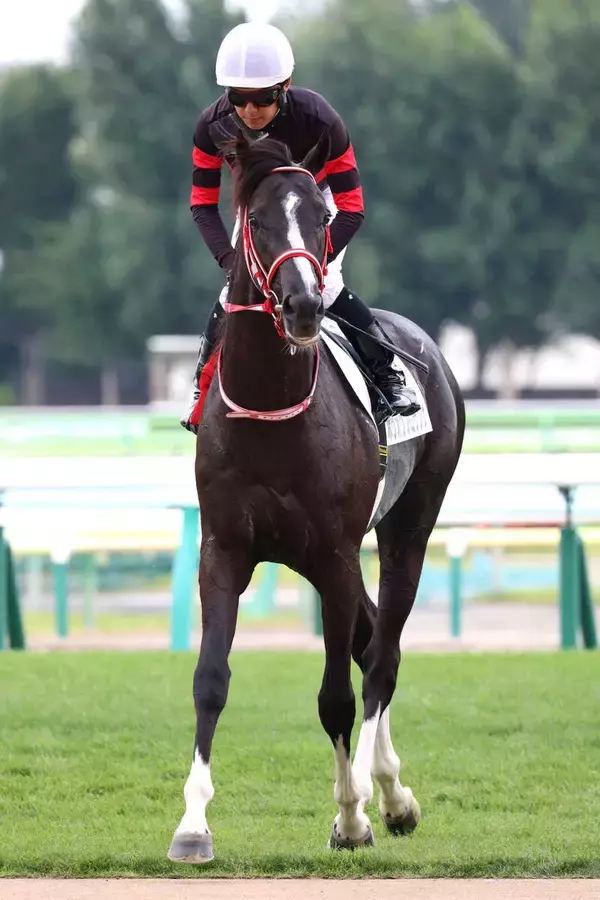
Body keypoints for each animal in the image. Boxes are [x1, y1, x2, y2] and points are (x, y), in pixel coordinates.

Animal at [168, 132, 465, 862]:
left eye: (322, 218)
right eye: (258, 220)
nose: (304, 305)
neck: (272, 414)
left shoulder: (334, 555)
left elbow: (336, 696)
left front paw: (352, 817)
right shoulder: (224, 550)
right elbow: (210, 681)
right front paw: (193, 825)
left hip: (406, 530)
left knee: (381, 658)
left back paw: (385, 796)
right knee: (372, 644)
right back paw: (392, 793)